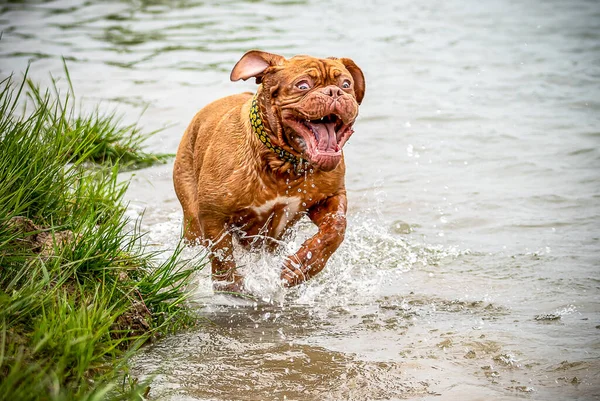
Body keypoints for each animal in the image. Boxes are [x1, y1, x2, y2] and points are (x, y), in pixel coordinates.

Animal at [171, 51, 364, 292]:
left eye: (346, 84)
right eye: (302, 85)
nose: (335, 92)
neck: (284, 162)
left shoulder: (328, 197)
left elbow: (335, 229)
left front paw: (302, 266)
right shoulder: (213, 214)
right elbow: (222, 252)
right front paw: (231, 287)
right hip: (191, 216)